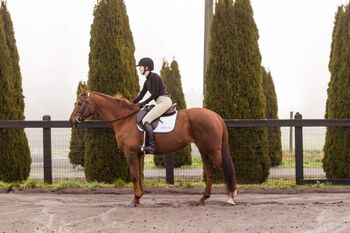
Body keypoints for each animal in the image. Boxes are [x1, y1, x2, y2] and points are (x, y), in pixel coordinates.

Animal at [68, 88, 238, 207]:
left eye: (79, 103)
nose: (72, 120)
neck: (125, 119)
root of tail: (216, 116)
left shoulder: (130, 153)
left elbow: (134, 175)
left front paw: (135, 199)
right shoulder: (138, 153)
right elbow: (139, 175)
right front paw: (139, 197)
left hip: (212, 150)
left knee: (225, 168)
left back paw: (231, 196)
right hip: (204, 150)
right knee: (210, 172)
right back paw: (203, 199)